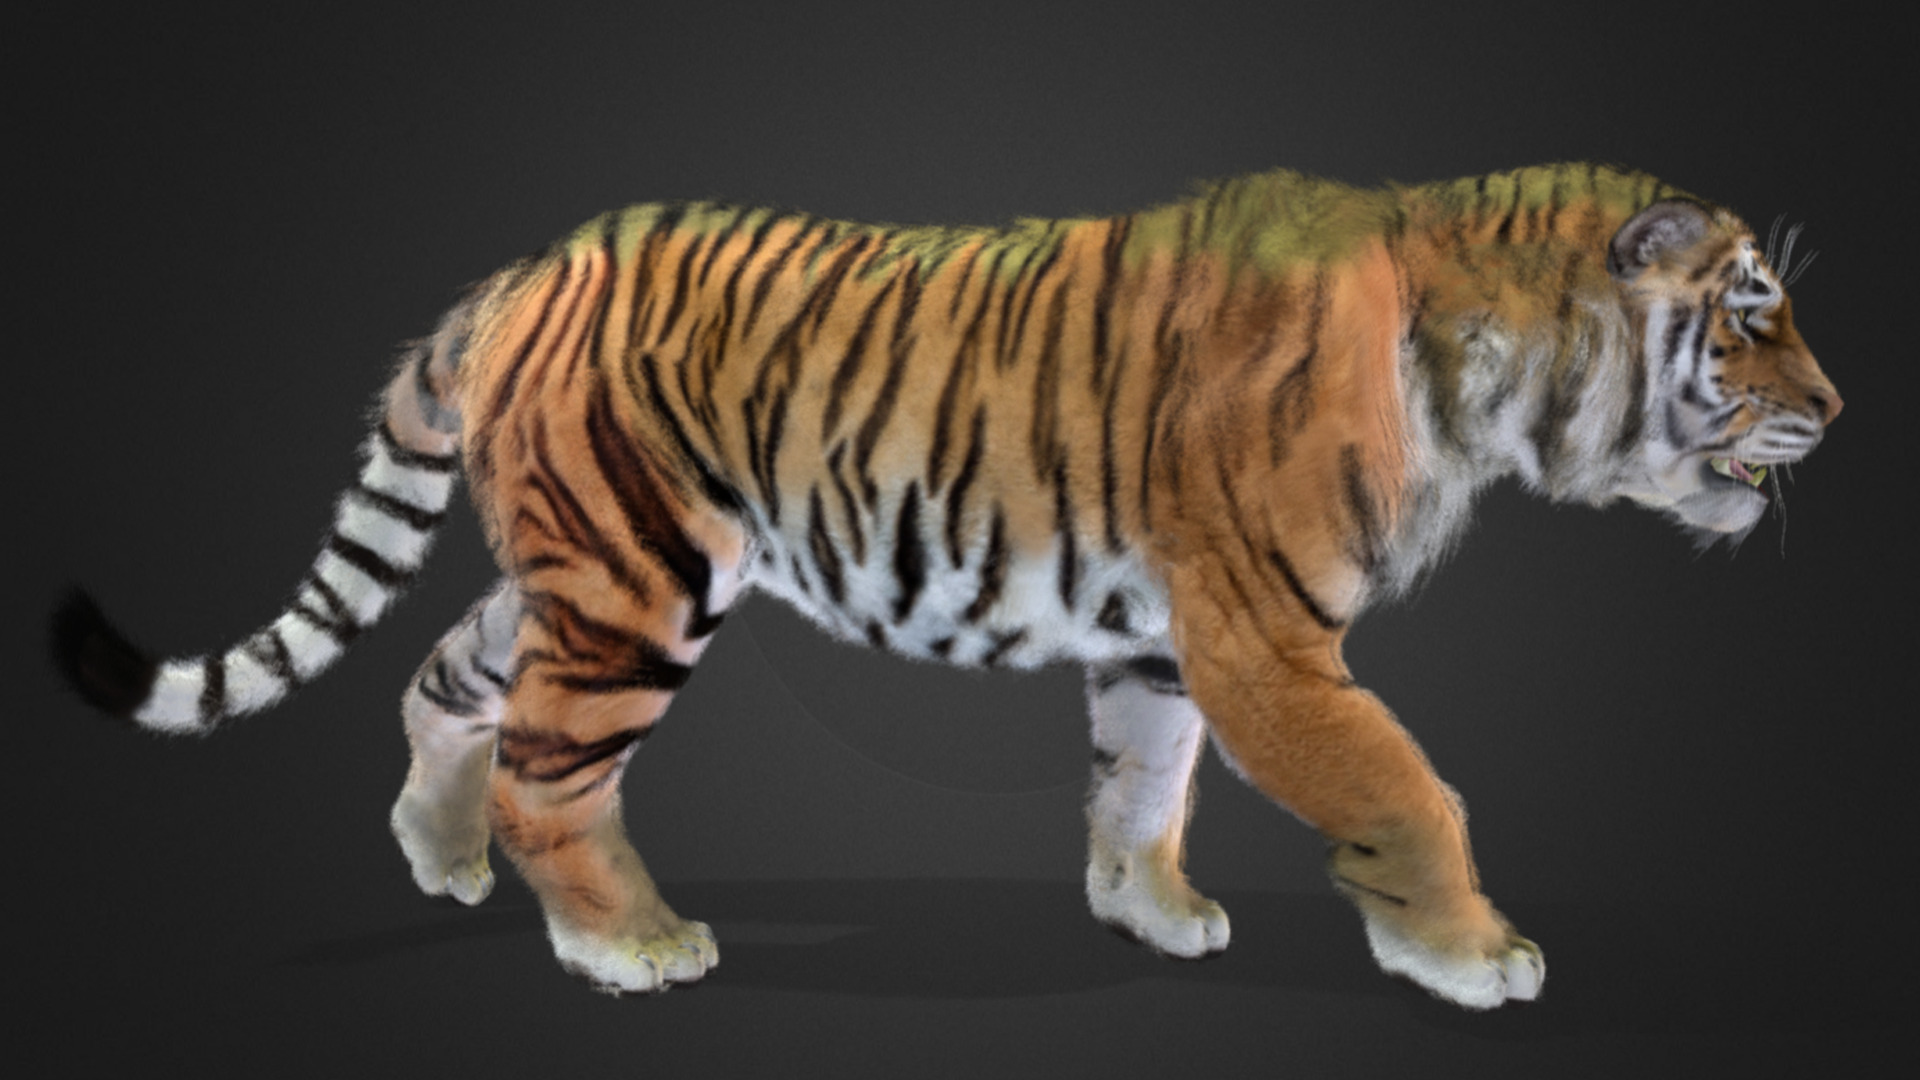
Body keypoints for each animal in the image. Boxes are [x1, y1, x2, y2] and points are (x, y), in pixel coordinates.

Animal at [51, 163, 1841, 1009]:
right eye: (1751, 309)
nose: (1838, 409)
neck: (1495, 373)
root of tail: (525, 268)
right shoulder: (1265, 632)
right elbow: (1408, 791)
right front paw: (1476, 956)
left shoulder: (1171, 638)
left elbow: (1144, 784)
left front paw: (1152, 911)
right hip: (641, 582)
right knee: (554, 769)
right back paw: (629, 944)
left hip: (575, 565)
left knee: (452, 673)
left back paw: (440, 854)